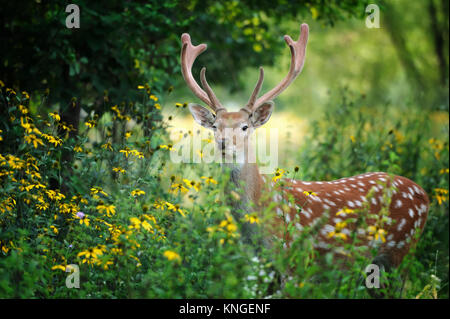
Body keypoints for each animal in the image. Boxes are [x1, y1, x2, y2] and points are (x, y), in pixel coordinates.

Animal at [178, 21, 428, 288]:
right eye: (215, 126)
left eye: (245, 126)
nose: (224, 143)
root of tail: (425, 195)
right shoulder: (260, 269)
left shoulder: (294, 262)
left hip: (402, 252)